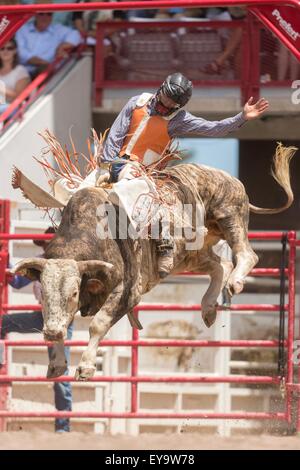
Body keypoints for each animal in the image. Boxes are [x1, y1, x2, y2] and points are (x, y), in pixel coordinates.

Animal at [11, 144, 296, 382]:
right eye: (43, 293)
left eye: (73, 292)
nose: (49, 333)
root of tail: (231, 178)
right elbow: (64, 324)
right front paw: (57, 362)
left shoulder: (128, 292)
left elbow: (97, 324)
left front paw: (86, 367)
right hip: (189, 255)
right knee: (220, 265)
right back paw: (208, 308)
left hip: (230, 215)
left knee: (246, 255)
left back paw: (235, 283)